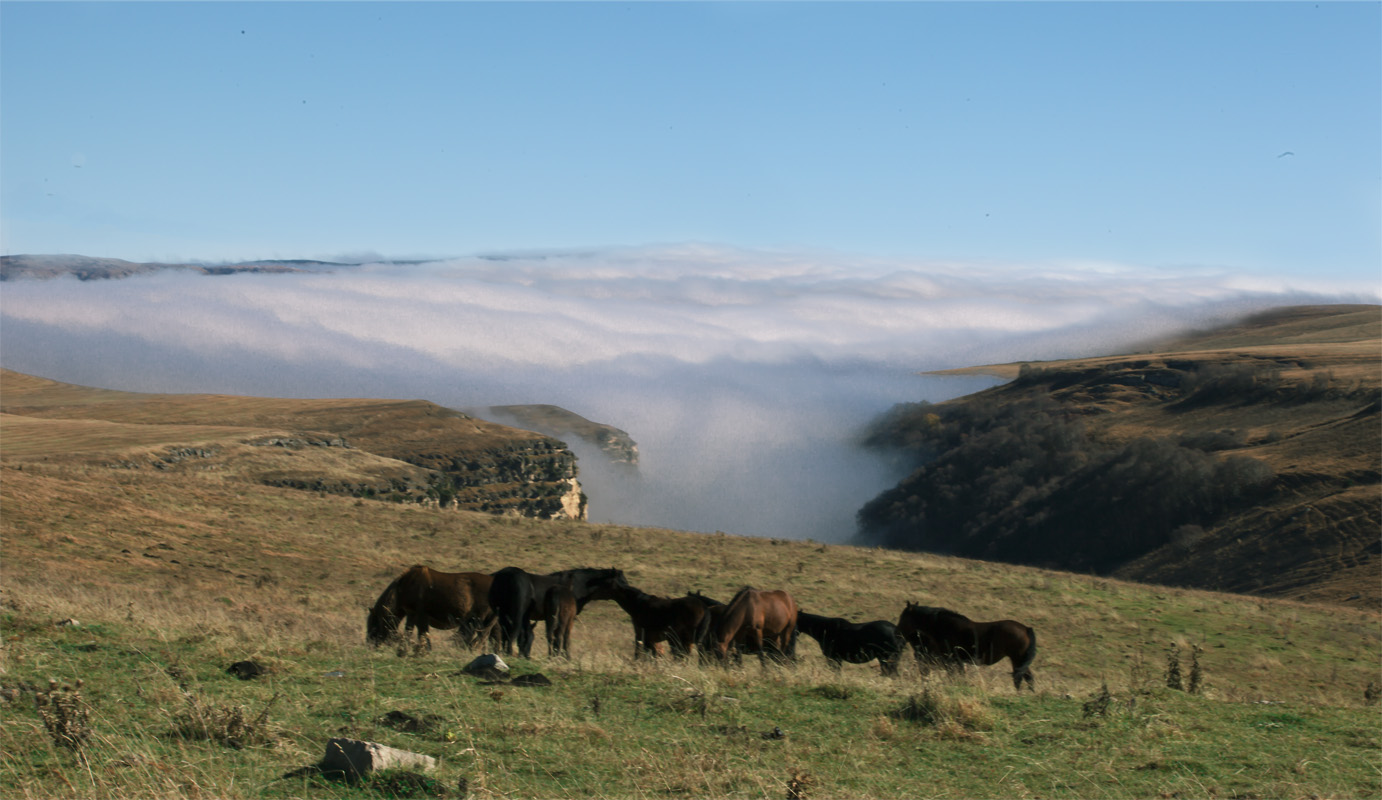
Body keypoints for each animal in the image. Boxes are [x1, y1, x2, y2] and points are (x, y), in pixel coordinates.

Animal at [367, 563, 497, 657]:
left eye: (374, 626)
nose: (371, 646)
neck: (404, 587)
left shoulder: (421, 615)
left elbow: (423, 634)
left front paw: (423, 652)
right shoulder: (412, 614)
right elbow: (410, 632)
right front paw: (403, 651)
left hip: (480, 619)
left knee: (480, 637)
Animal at [895, 605, 1039, 690]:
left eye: (902, 617)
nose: (896, 633)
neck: (942, 626)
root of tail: (1026, 629)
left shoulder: (952, 661)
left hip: (1017, 659)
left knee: (1022, 678)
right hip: (1019, 661)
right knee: (1026, 678)